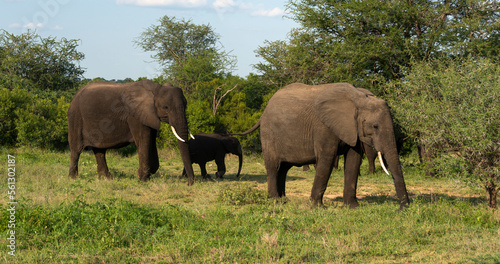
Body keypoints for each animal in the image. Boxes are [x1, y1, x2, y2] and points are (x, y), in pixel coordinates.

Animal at [234, 83, 410, 209]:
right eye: (375, 126)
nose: (402, 208)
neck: (359, 98)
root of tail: (264, 111)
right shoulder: (323, 128)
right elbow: (326, 160)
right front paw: (317, 208)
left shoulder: (353, 129)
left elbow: (354, 161)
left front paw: (353, 207)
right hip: (268, 134)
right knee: (273, 167)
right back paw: (275, 202)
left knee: (283, 169)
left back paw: (284, 201)